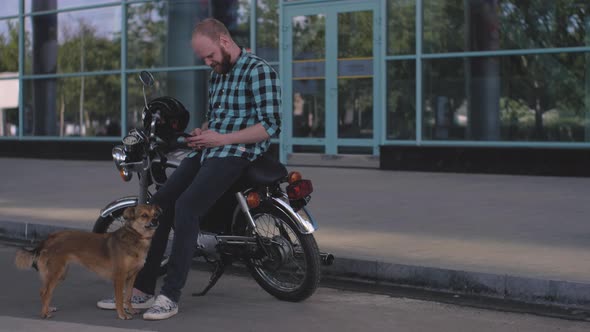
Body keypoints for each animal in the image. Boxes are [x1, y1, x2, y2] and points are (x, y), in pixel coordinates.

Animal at [14, 204, 160, 320]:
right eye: (144, 215)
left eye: (155, 214)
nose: (156, 220)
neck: (135, 236)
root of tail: (49, 238)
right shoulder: (119, 277)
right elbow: (120, 299)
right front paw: (122, 314)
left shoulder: (132, 277)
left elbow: (128, 296)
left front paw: (131, 310)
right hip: (56, 272)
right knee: (45, 292)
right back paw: (44, 314)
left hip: (59, 274)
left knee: (45, 291)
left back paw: (48, 308)